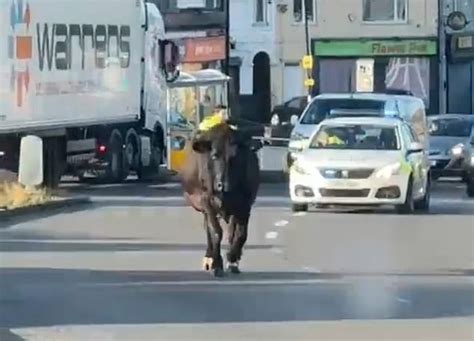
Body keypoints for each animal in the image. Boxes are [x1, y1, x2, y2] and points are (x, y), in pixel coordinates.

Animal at [180, 122, 262, 276]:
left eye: (235, 157)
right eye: (214, 156)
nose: (222, 184)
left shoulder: (245, 204)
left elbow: (240, 234)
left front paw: (232, 259)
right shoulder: (207, 202)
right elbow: (215, 232)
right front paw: (216, 264)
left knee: (231, 232)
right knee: (209, 230)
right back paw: (209, 258)